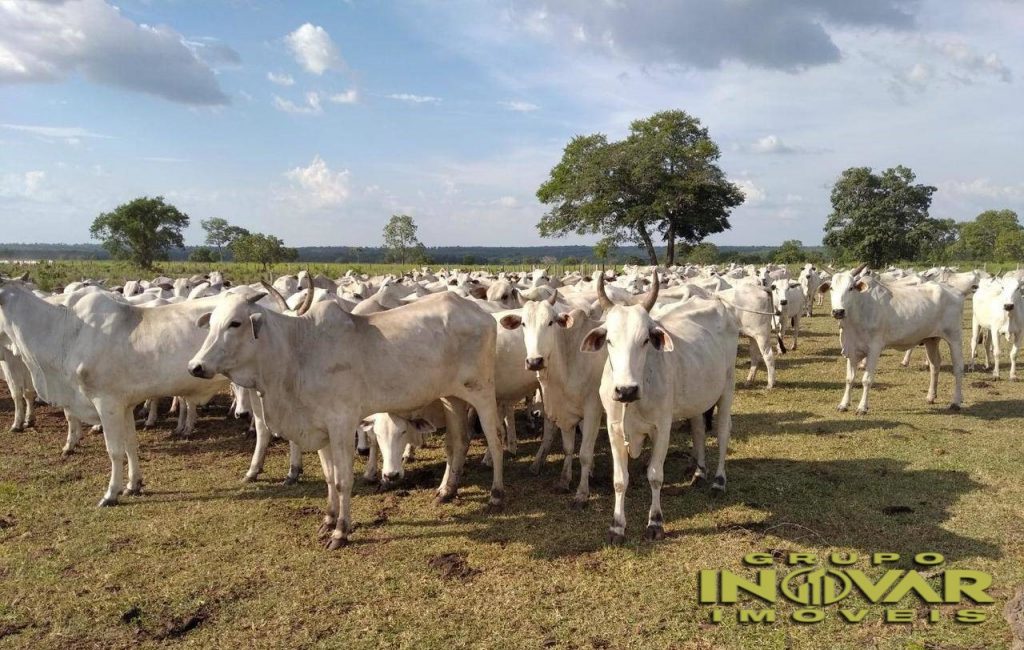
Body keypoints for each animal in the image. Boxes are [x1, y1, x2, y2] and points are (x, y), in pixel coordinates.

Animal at [827, 264, 962, 411]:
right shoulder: (851, 349)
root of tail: (954, 292)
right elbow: (849, 379)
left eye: (851, 288)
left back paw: (956, 402)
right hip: (931, 339)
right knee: (935, 365)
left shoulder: (874, 348)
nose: (838, 312)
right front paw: (843, 404)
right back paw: (931, 396)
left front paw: (862, 407)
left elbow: (867, 380)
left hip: (954, 337)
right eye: (831, 288)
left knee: (958, 368)